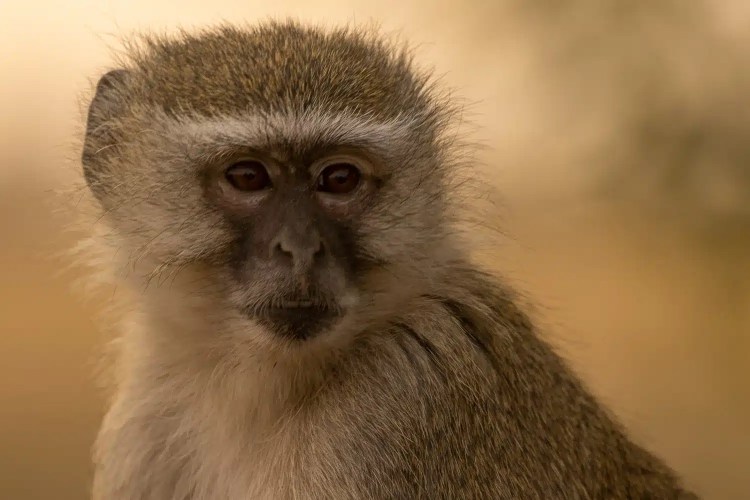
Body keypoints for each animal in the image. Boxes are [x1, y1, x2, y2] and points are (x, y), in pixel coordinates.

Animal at [79, 20, 699, 500]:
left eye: (339, 178)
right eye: (249, 176)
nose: (300, 247)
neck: (258, 386)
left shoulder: (403, 401)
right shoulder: (146, 424)